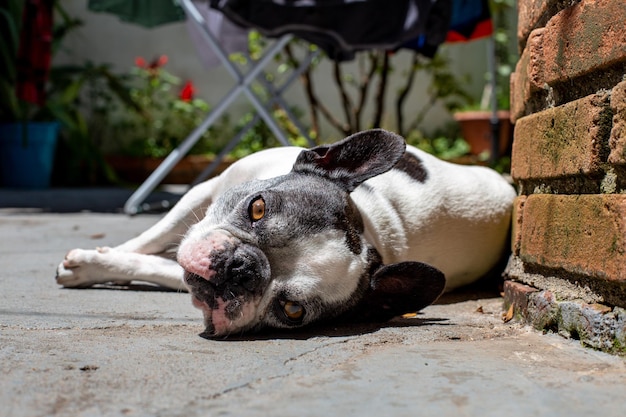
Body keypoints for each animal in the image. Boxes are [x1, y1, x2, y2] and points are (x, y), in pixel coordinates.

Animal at [56, 128, 516, 336]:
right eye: (257, 207)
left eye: (291, 311)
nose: (241, 269)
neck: (370, 222)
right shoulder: (207, 191)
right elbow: (151, 237)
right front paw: (98, 259)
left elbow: (158, 265)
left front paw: (91, 266)